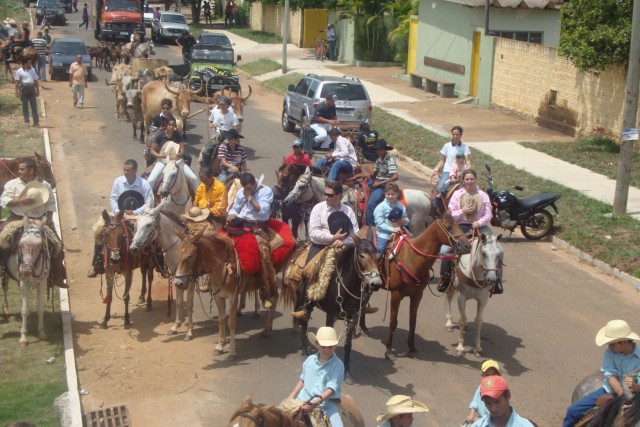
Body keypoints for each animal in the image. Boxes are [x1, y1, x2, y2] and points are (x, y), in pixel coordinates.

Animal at [4, 217, 49, 348]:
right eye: (21, 244)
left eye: (39, 245)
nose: (26, 271)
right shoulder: (24, 284)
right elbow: (24, 310)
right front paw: (23, 338)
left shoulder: (42, 284)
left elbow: (40, 308)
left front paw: (42, 333)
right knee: (4, 287)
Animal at [282, 236, 382, 382]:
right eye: (362, 255)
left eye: (377, 256)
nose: (376, 284)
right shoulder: (330, 316)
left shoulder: (352, 318)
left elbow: (348, 345)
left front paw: (347, 373)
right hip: (301, 299)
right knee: (303, 321)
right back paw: (305, 351)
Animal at [380, 214, 470, 362]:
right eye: (449, 227)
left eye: (458, 224)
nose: (467, 245)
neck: (412, 258)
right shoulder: (396, 295)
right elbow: (393, 322)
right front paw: (388, 350)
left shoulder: (417, 295)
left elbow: (413, 321)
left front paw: (411, 347)